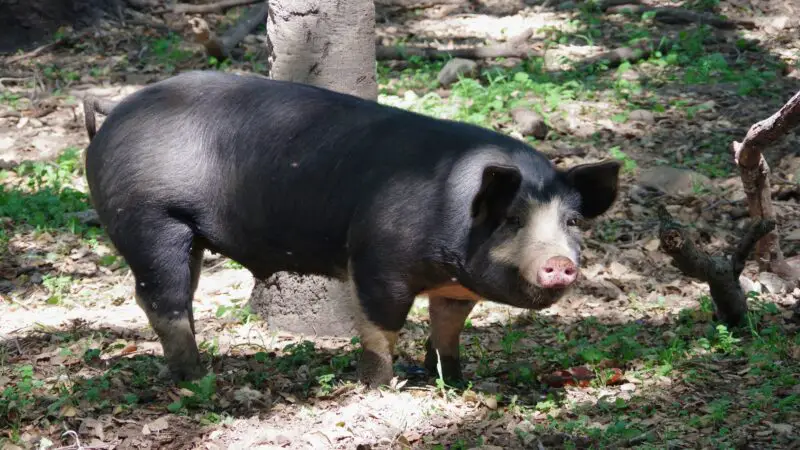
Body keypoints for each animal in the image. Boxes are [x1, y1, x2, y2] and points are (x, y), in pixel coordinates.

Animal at [83, 70, 620, 386]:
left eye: (572, 221)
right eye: (512, 219)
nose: (559, 263)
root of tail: (118, 107)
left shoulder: (455, 287)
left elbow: (447, 328)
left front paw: (456, 381)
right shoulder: (376, 259)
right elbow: (382, 326)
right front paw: (383, 385)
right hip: (150, 218)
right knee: (161, 297)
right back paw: (196, 378)